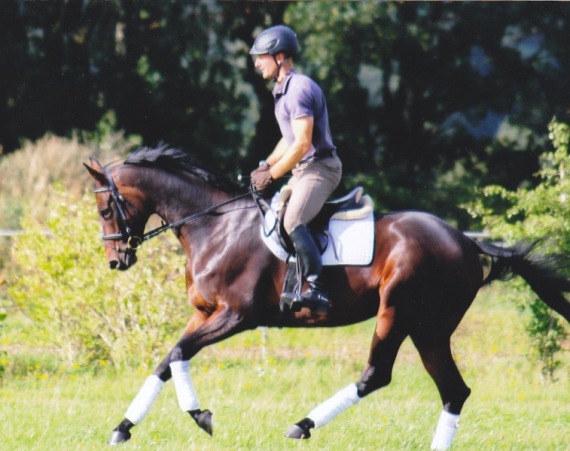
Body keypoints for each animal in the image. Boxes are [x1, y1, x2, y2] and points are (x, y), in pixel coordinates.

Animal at [84, 147, 568, 450]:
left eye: (106, 209)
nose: (115, 261)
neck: (214, 225)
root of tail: (466, 242)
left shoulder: (236, 316)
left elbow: (181, 353)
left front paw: (200, 415)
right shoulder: (205, 314)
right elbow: (168, 359)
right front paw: (123, 429)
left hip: (400, 314)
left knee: (377, 375)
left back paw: (302, 426)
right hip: (428, 329)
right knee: (453, 390)